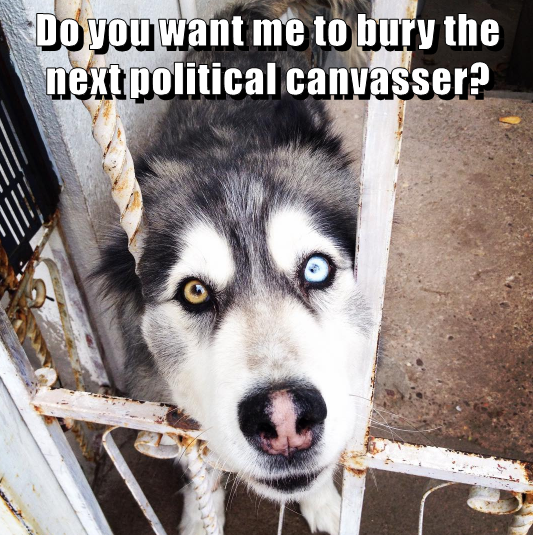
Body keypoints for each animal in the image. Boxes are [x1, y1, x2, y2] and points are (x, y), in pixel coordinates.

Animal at [97, 1, 371, 533]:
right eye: (195, 292)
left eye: (316, 270)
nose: (284, 419)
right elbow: (198, 461)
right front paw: (201, 513)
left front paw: (324, 503)